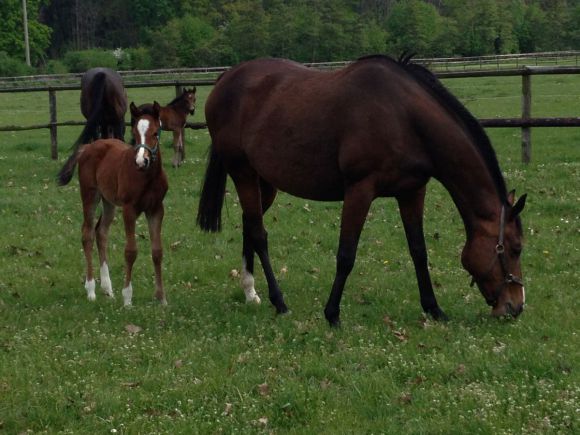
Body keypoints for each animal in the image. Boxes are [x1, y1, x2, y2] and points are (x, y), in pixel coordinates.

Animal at [57, 102, 168, 306]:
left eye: (156, 133)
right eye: (134, 132)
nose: (141, 161)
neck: (147, 178)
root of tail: (88, 146)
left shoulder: (156, 209)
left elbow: (157, 252)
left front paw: (161, 299)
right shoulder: (129, 209)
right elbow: (131, 251)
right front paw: (127, 298)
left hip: (108, 201)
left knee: (101, 232)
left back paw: (107, 288)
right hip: (90, 195)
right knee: (87, 234)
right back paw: (91, 289)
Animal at [197, 55, 528, 328]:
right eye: (515, 249)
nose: (515, 307)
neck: (404, 117)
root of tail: (226, 78)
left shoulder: (412, 192)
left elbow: (419, 251)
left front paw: (434, 309)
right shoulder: (360, 190)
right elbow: (346, 254)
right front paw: (332, 314)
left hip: (263, 182)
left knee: (249, 225)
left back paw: (250, 292)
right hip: (242, 172)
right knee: (259, 234)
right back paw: (279, 302)